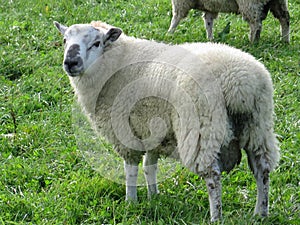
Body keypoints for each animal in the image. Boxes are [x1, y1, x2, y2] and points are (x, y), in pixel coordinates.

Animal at [53, 20, 278, 221]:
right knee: (262, 168)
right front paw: (154, 197)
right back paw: (260, 213)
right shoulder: (151, 129)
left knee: (213, 176)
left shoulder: (125, 132)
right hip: (258, 126)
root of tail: (239, 83)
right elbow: (149, 166)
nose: (71, 63)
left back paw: (216, 217)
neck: (116, 63)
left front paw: (131, 202)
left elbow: (131, 170)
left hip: (202, 127)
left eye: (97, 43)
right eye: (64, 40)